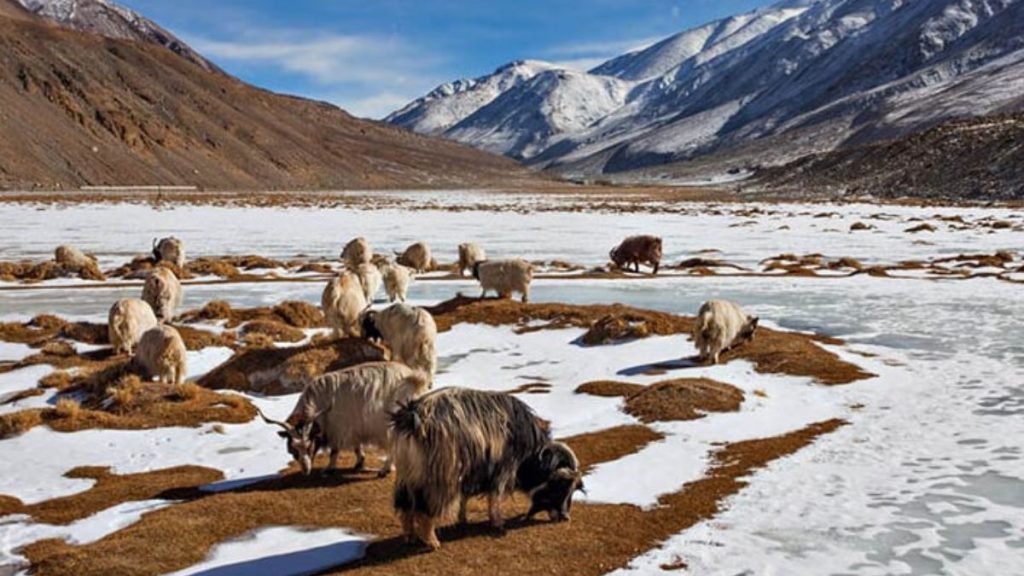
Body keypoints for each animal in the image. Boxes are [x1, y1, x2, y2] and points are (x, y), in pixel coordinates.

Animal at [260, 358, 432, 475]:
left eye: (309, 445)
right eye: (293, 448)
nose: (306, 470)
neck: (319, 402)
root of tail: (414, 379)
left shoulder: (339, 429)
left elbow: (334, 451)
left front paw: (329, 469)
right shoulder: (354, 427)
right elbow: (356, 446)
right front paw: (359, 462)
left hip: (391, 426)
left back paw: (385, 470)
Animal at [391, 387, 581, 549]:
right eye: (560, 486)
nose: (565, 517)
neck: (530, 453)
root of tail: (412, 419)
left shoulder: (471, 473)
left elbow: (465, 498)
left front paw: (463, 519)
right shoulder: (501, 470)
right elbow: (494, 497)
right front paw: (498, 523)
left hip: (406, 478)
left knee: (405, 506)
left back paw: (410, 537)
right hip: (438, 479)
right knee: (426, 509)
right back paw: (432, 542)